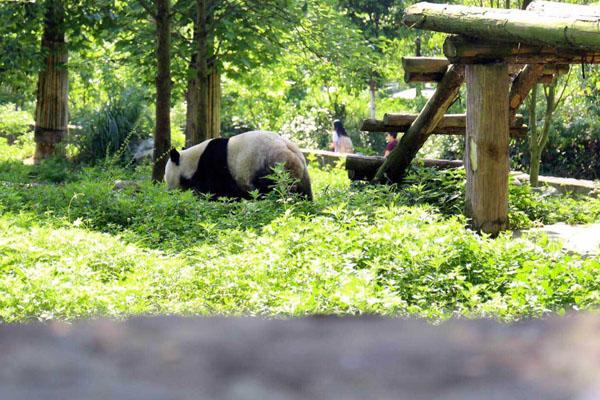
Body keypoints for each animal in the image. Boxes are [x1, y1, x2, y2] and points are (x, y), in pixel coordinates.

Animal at [165, 130, 314, 200]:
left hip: (270, 166)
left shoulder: (213, 165)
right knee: (305, 192)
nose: (169, 192)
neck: (193, 160)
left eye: (167, 177)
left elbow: (216, 189)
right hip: (302, 173)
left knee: (270, 188)